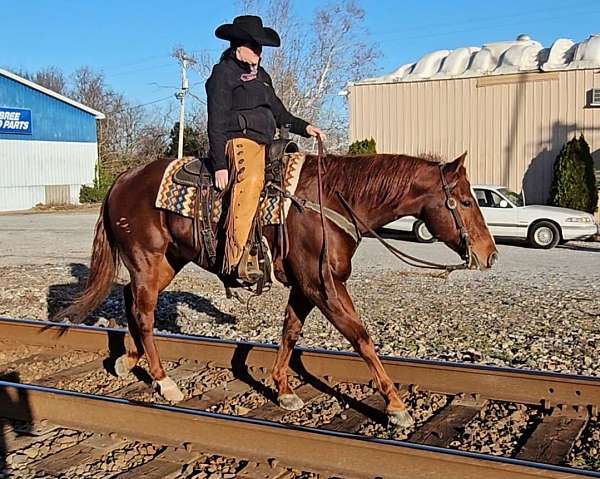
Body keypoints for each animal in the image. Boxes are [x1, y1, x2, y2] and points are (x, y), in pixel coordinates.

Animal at [56, 151, 496, 428]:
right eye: (465, 200)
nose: (490, 254)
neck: (333, 202)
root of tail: (121, 181)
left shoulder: (305, 287)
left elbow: (290, 332)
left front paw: (283, 390)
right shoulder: (324, 287)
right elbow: (362, 338)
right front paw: (397, 406)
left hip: (167, 261)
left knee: (133, 303)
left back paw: (127, 360)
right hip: (147, 259)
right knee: (144, 314)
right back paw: (165, 383)